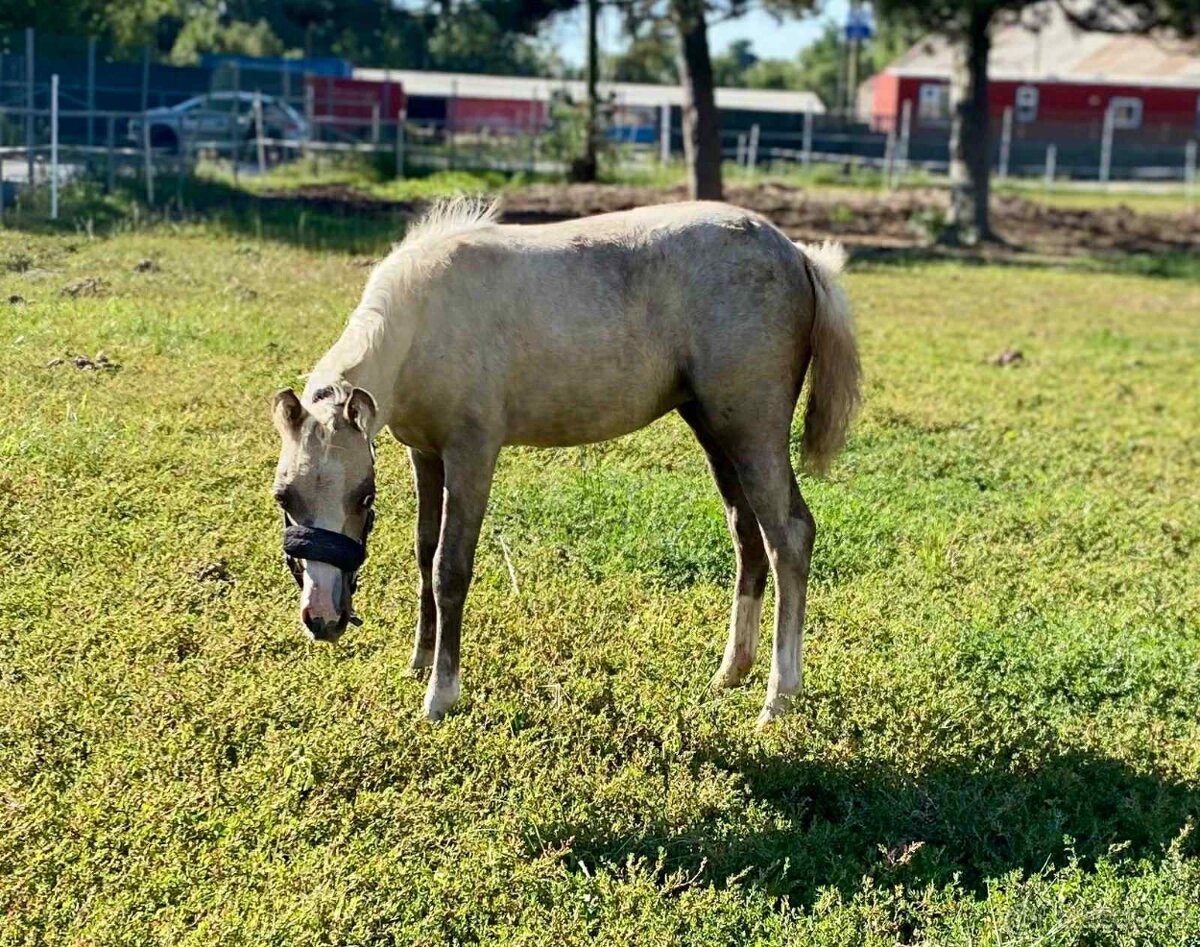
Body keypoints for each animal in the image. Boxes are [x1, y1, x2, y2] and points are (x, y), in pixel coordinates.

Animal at [271, 198, 860, 727]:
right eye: (283, 497)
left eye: (363, 496)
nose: (322, 619)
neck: (423, 321)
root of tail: (799, 255)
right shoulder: (426, 454)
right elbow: (423, 553)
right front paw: (419, 662)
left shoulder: (471, 454)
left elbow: (449, 569)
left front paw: (441, 695)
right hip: (716, 431)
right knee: (747, 534)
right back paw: (731, 673)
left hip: (754, 431)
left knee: (789, 536)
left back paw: (777, 700)